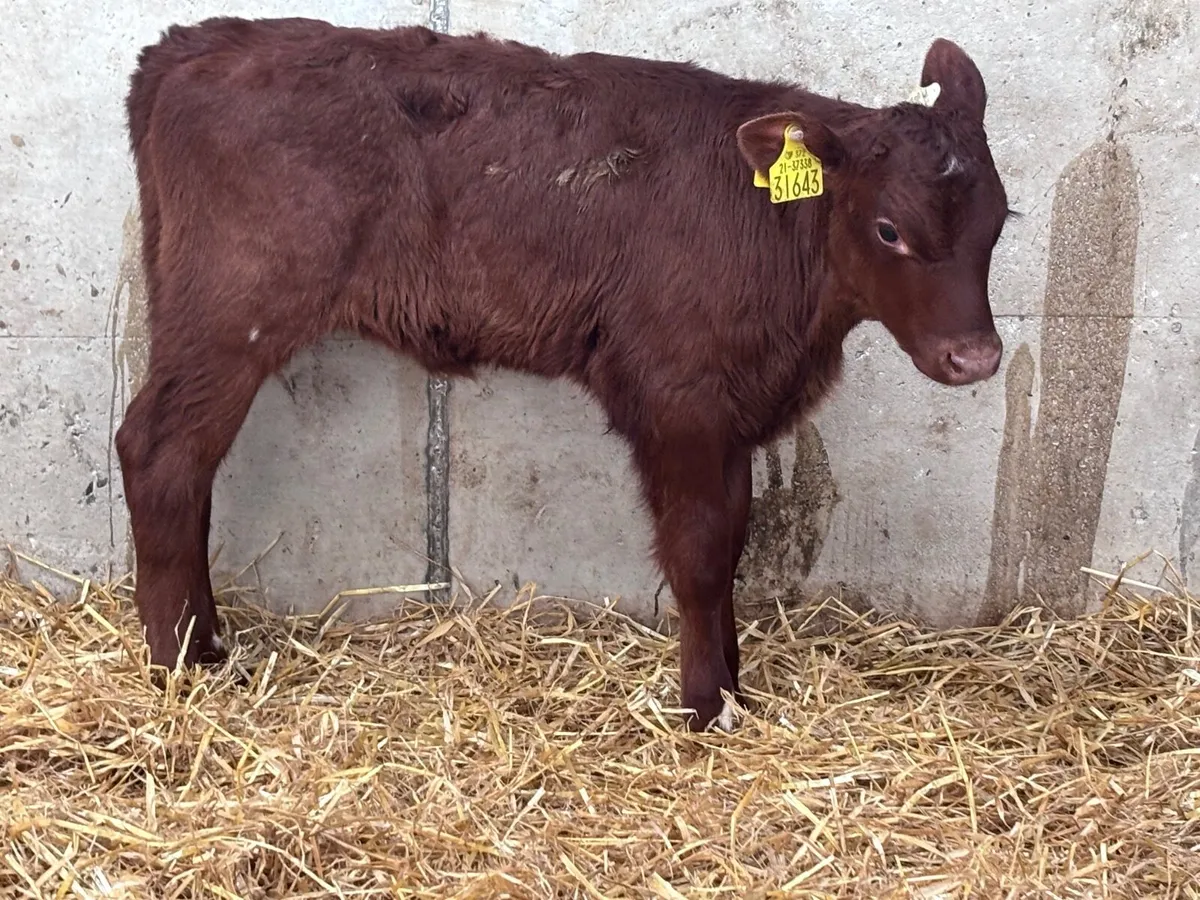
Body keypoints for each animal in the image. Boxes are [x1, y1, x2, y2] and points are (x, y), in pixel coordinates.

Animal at [115, 16, 1011, 731]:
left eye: (1000, 221)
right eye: (889, 229)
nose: (976, 357)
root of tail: (194, 43)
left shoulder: (731, 411)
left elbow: (732, 542)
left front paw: (734, 686)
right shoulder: (679, 395)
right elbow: (698, 551)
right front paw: (706, 705)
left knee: (190, 469)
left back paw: (208, 641)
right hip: (231, 314)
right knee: (157, 452)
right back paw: (175, 661)